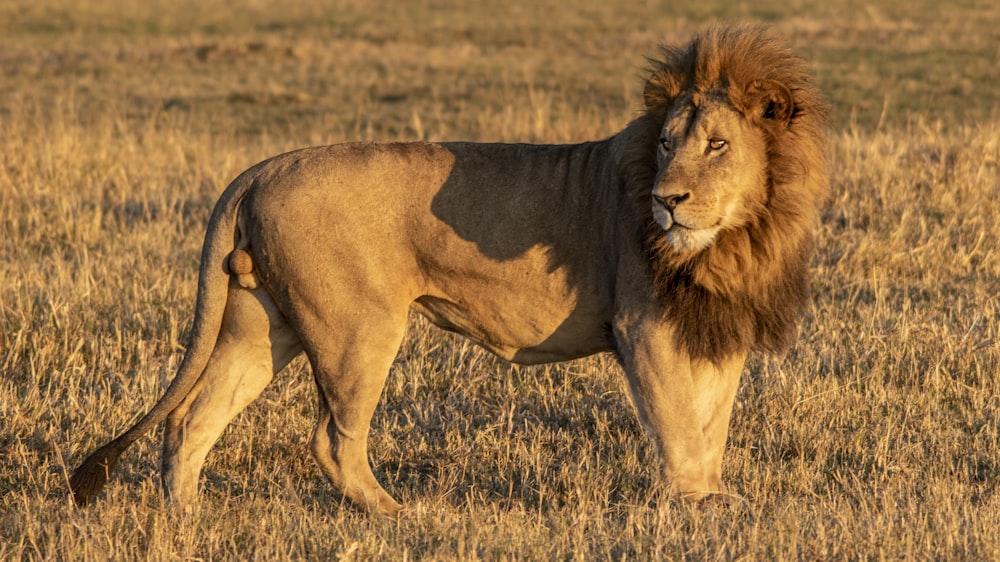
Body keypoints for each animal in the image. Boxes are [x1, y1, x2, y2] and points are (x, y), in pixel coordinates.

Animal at [72, 27, 828, 516]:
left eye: (717, 145)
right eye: (667, 144)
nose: (667, 200)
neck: (742, 235)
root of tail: (262, 167)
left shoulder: (719, 325)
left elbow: (711, 422)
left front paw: (713, 496)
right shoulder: (644, 326)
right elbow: (676, 422)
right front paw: (695, 507)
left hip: (262, 322)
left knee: (190, 421)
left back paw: (185, 521)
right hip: (357, 329)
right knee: (331, 441)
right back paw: (398, 518)